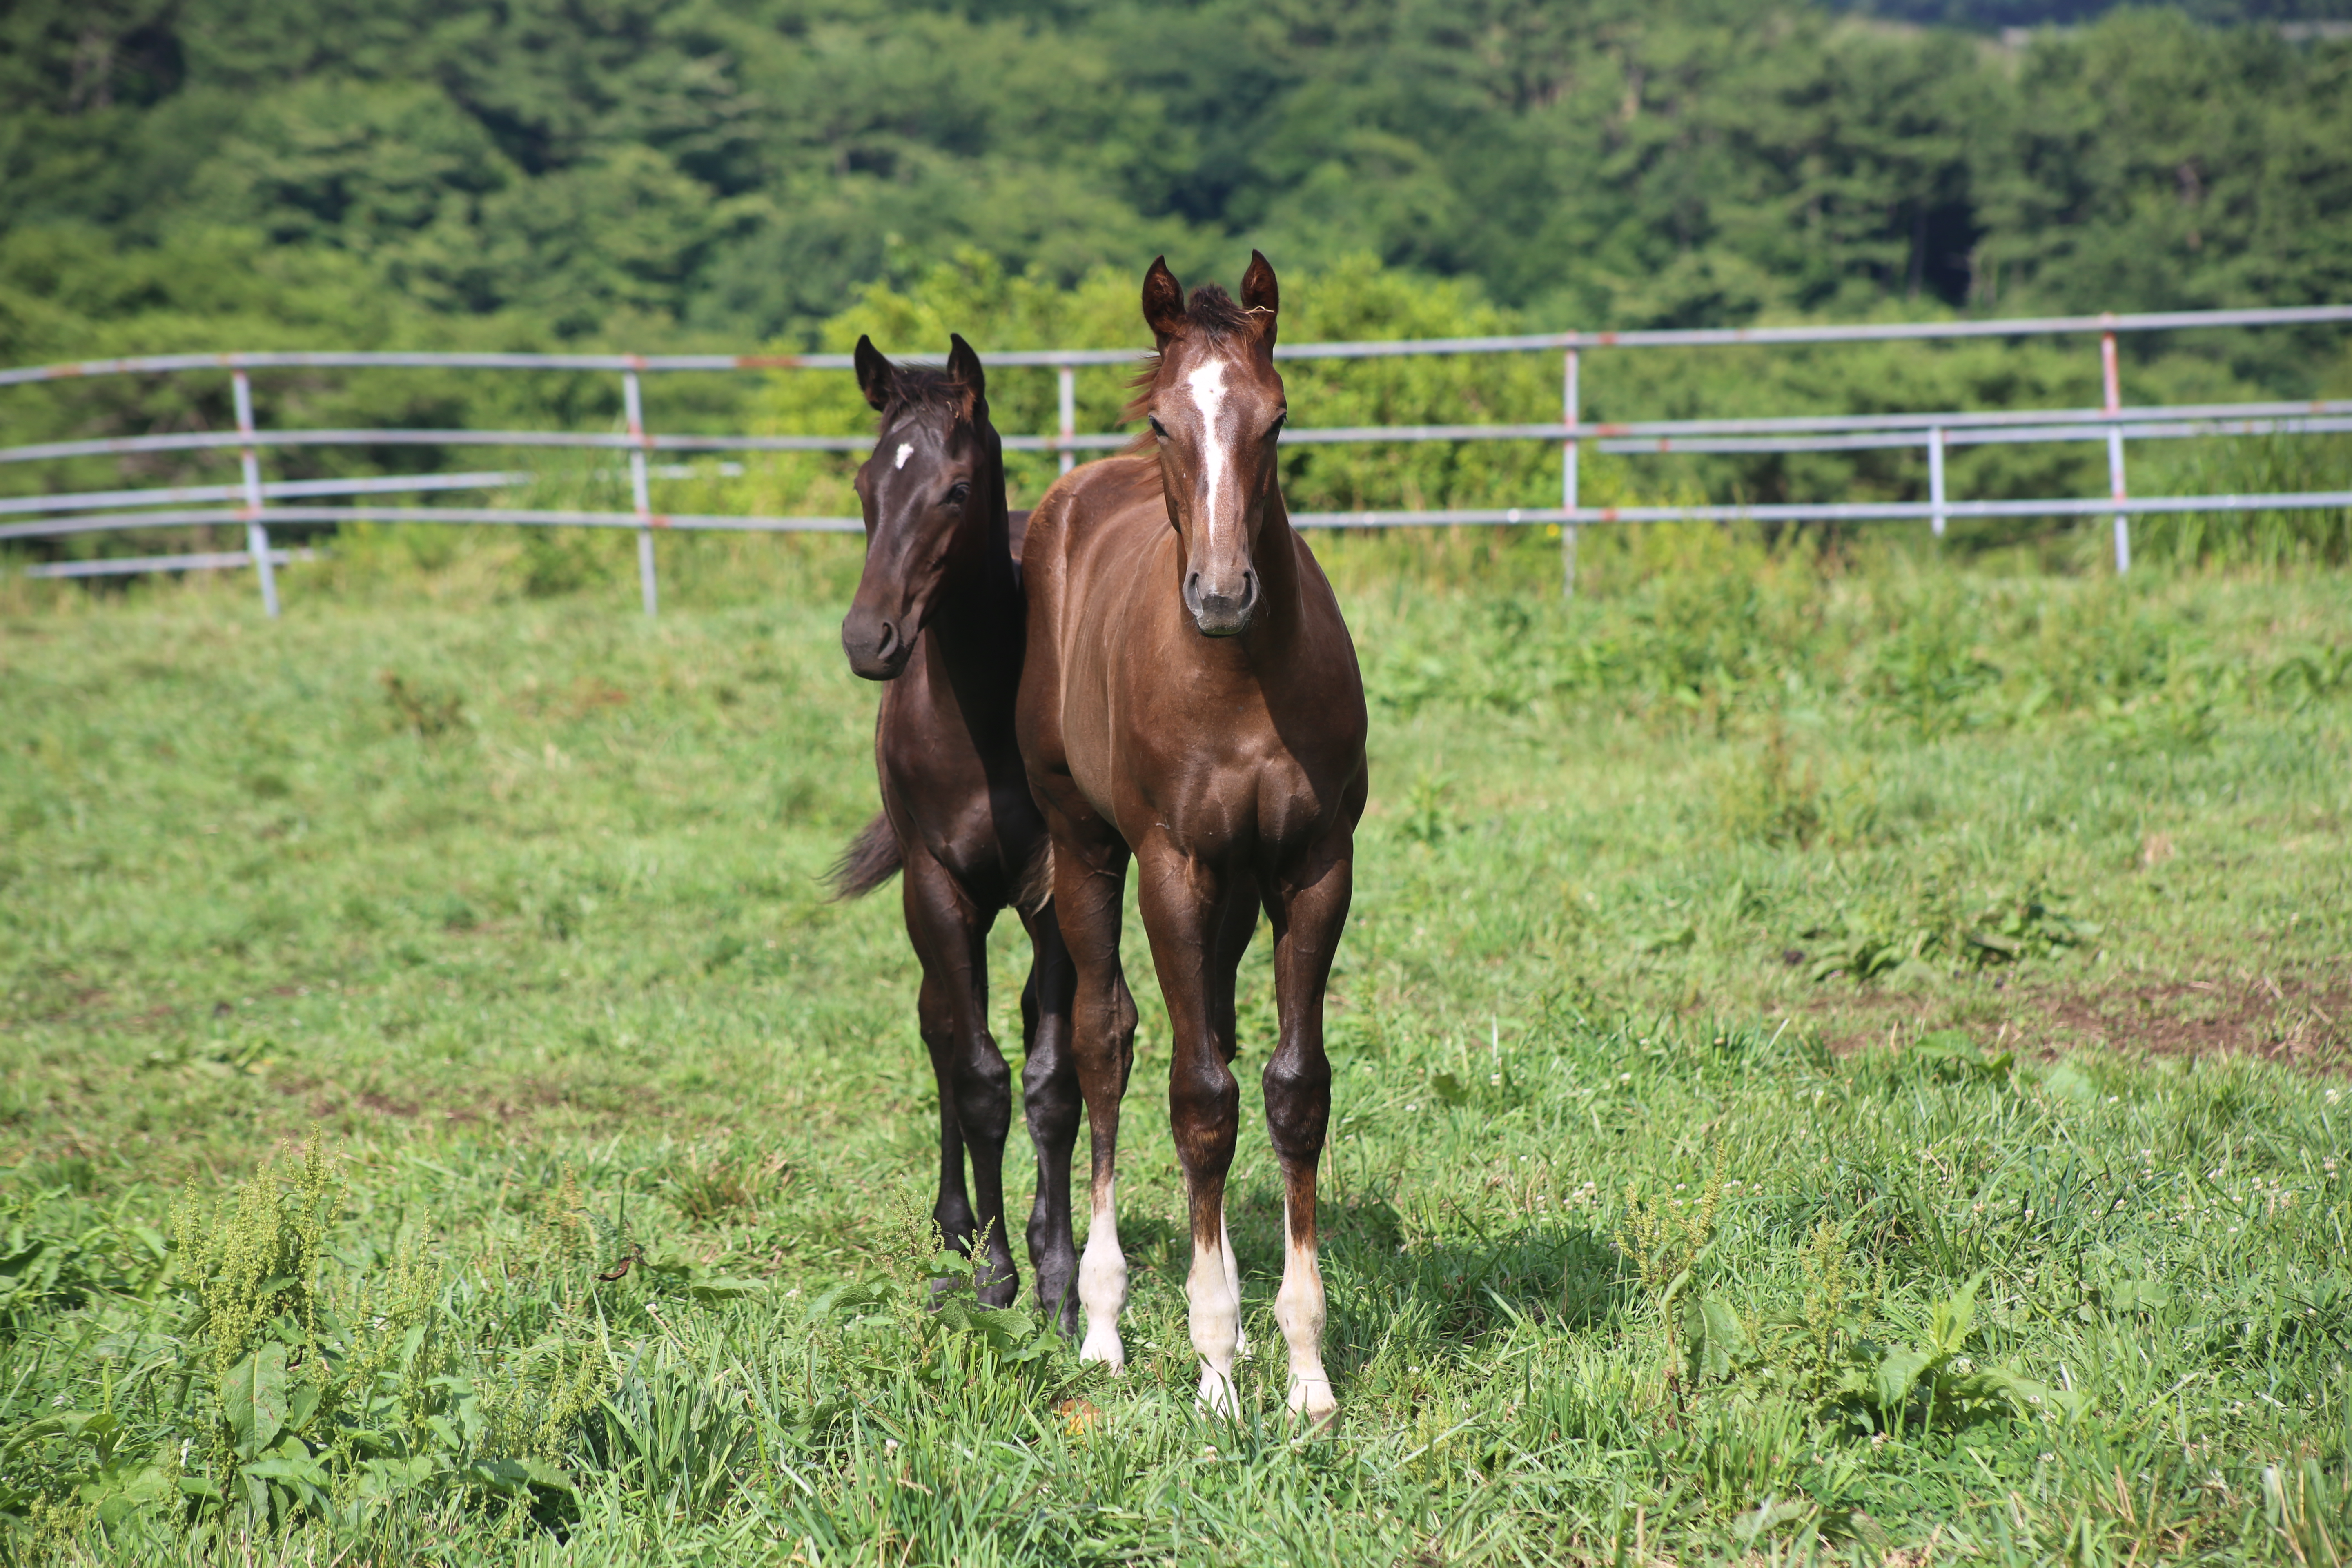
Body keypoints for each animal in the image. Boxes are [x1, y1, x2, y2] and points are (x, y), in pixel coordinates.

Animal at [1016, 257, 1373, 1420]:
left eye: (1276, 419)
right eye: (1165, 421)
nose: (1221, 593)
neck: (1237, 679)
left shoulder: (1313, 868)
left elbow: (1292, 1090)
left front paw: (1303, 1369)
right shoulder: (1171, 868)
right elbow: (1197, 1096)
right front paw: (1213, 1367)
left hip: (1233, 890)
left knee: (1207, 1026)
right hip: (1085, 845)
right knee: (1106, 1043)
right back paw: (1102, 1322)